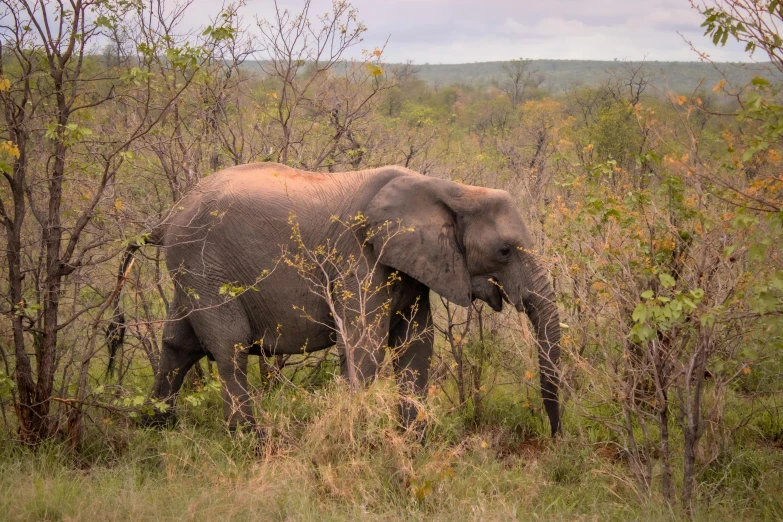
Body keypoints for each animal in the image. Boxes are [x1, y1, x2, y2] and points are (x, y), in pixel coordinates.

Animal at [112, 161, 564, 434]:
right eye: (504, 251)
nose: (555, 436)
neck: (451, 189)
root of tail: (168, 216)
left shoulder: (414, 266)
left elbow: (416, 344)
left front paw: (412, 439)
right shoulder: (358, 259)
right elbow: (365, 345)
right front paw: (360, 434)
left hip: (190, 270)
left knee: (178, 342)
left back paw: (153, 427)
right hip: (204, 264)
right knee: (229, 346)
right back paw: (250, 439)